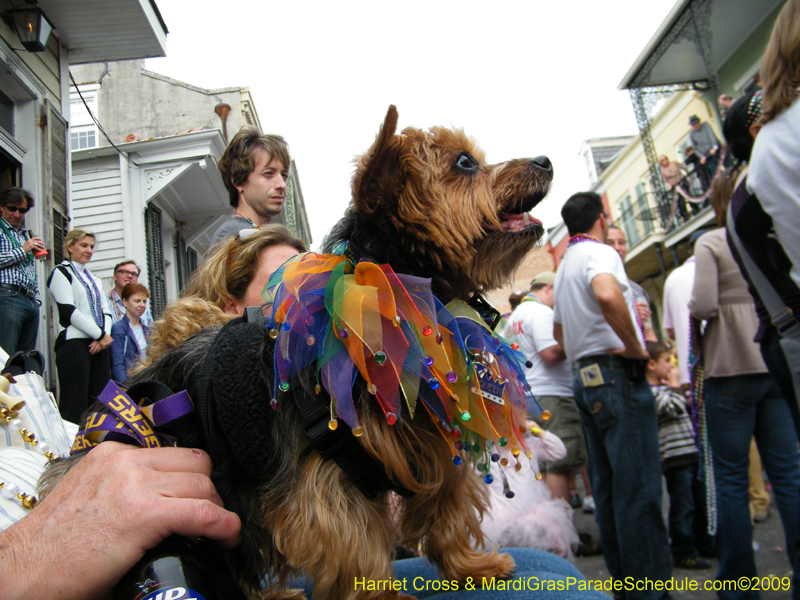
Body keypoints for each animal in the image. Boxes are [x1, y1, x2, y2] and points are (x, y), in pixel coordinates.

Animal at [45, 105, 552, 596]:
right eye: (465, 163)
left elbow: (448, 505)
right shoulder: (320, 482)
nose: (545, 160)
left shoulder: (431, 440)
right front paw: (381, 595)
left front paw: (471, 565)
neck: (400, 294)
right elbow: (354, 545)